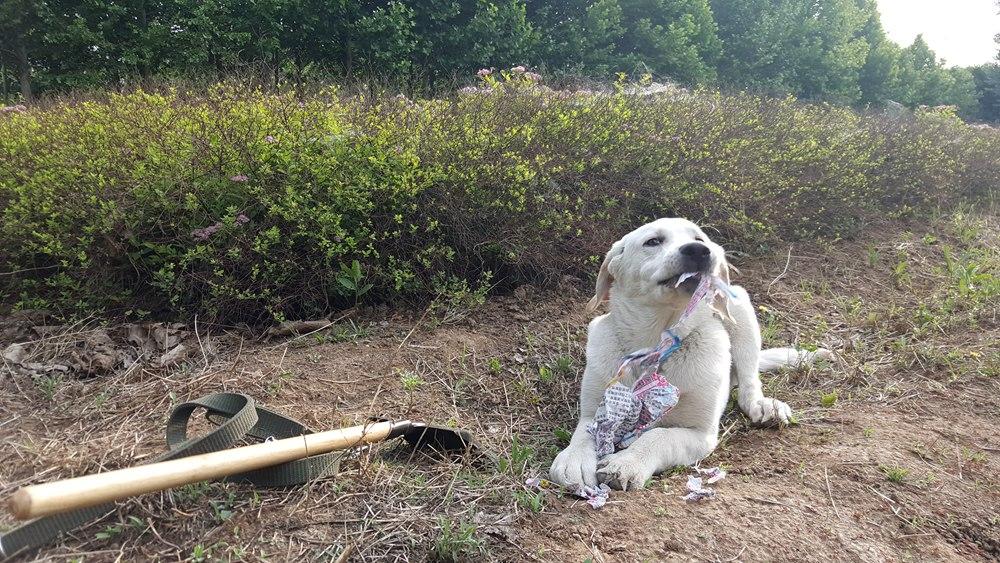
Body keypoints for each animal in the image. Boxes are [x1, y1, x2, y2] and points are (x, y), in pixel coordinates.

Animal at [552, 218, 824, 492]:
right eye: (653, 241)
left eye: (699, 239)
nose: (699, 251)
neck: (656, 347)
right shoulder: (593, 411)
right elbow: (584, 433)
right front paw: (575, 459)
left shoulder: (700, 433)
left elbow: (659, 436)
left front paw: (627, 463)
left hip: (739, 307)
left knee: (749, 381)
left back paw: (762, 404)